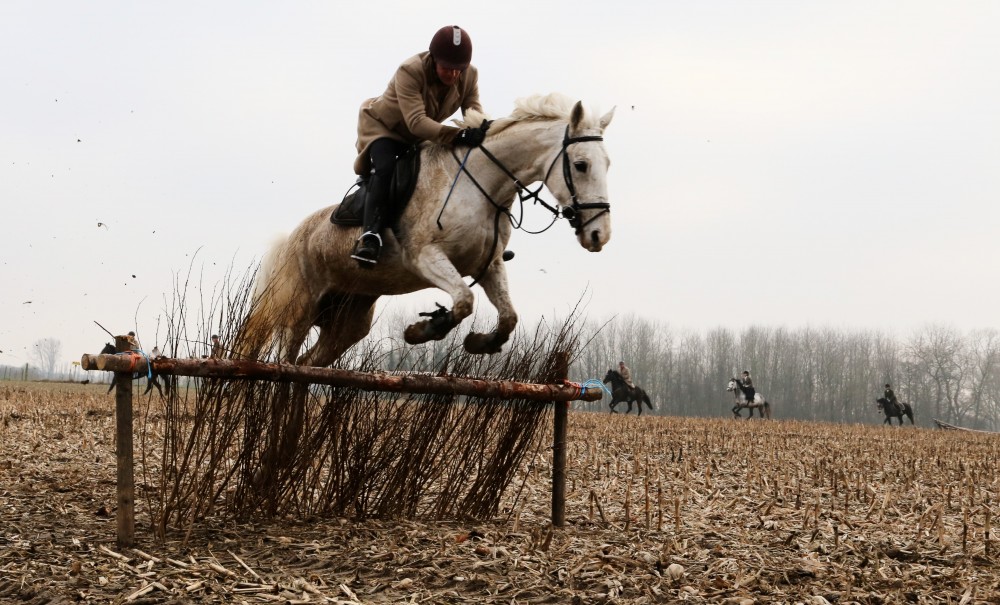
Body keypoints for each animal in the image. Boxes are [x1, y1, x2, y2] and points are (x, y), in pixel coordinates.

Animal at [240, 92, 616, 366]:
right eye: (581, 165)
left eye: (608, 164)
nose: (600, 236)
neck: (481, 184)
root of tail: (291, 238)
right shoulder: (426, 257)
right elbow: (463, 301)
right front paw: (422, 330)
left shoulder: (489, 265)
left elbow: (508, 316)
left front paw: (479, 342)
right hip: (299, 306)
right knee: (285, 357)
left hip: (348, 320)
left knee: (308, 361)